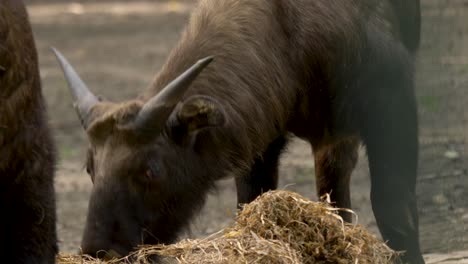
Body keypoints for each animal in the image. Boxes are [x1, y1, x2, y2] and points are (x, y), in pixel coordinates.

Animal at [53, 1, 422, 262]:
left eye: (151, 169)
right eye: (90, 168)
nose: (100, 251)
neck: (288, 38)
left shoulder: (395, 107)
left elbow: (395, 209)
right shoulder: (262, 142)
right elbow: (250, 204)